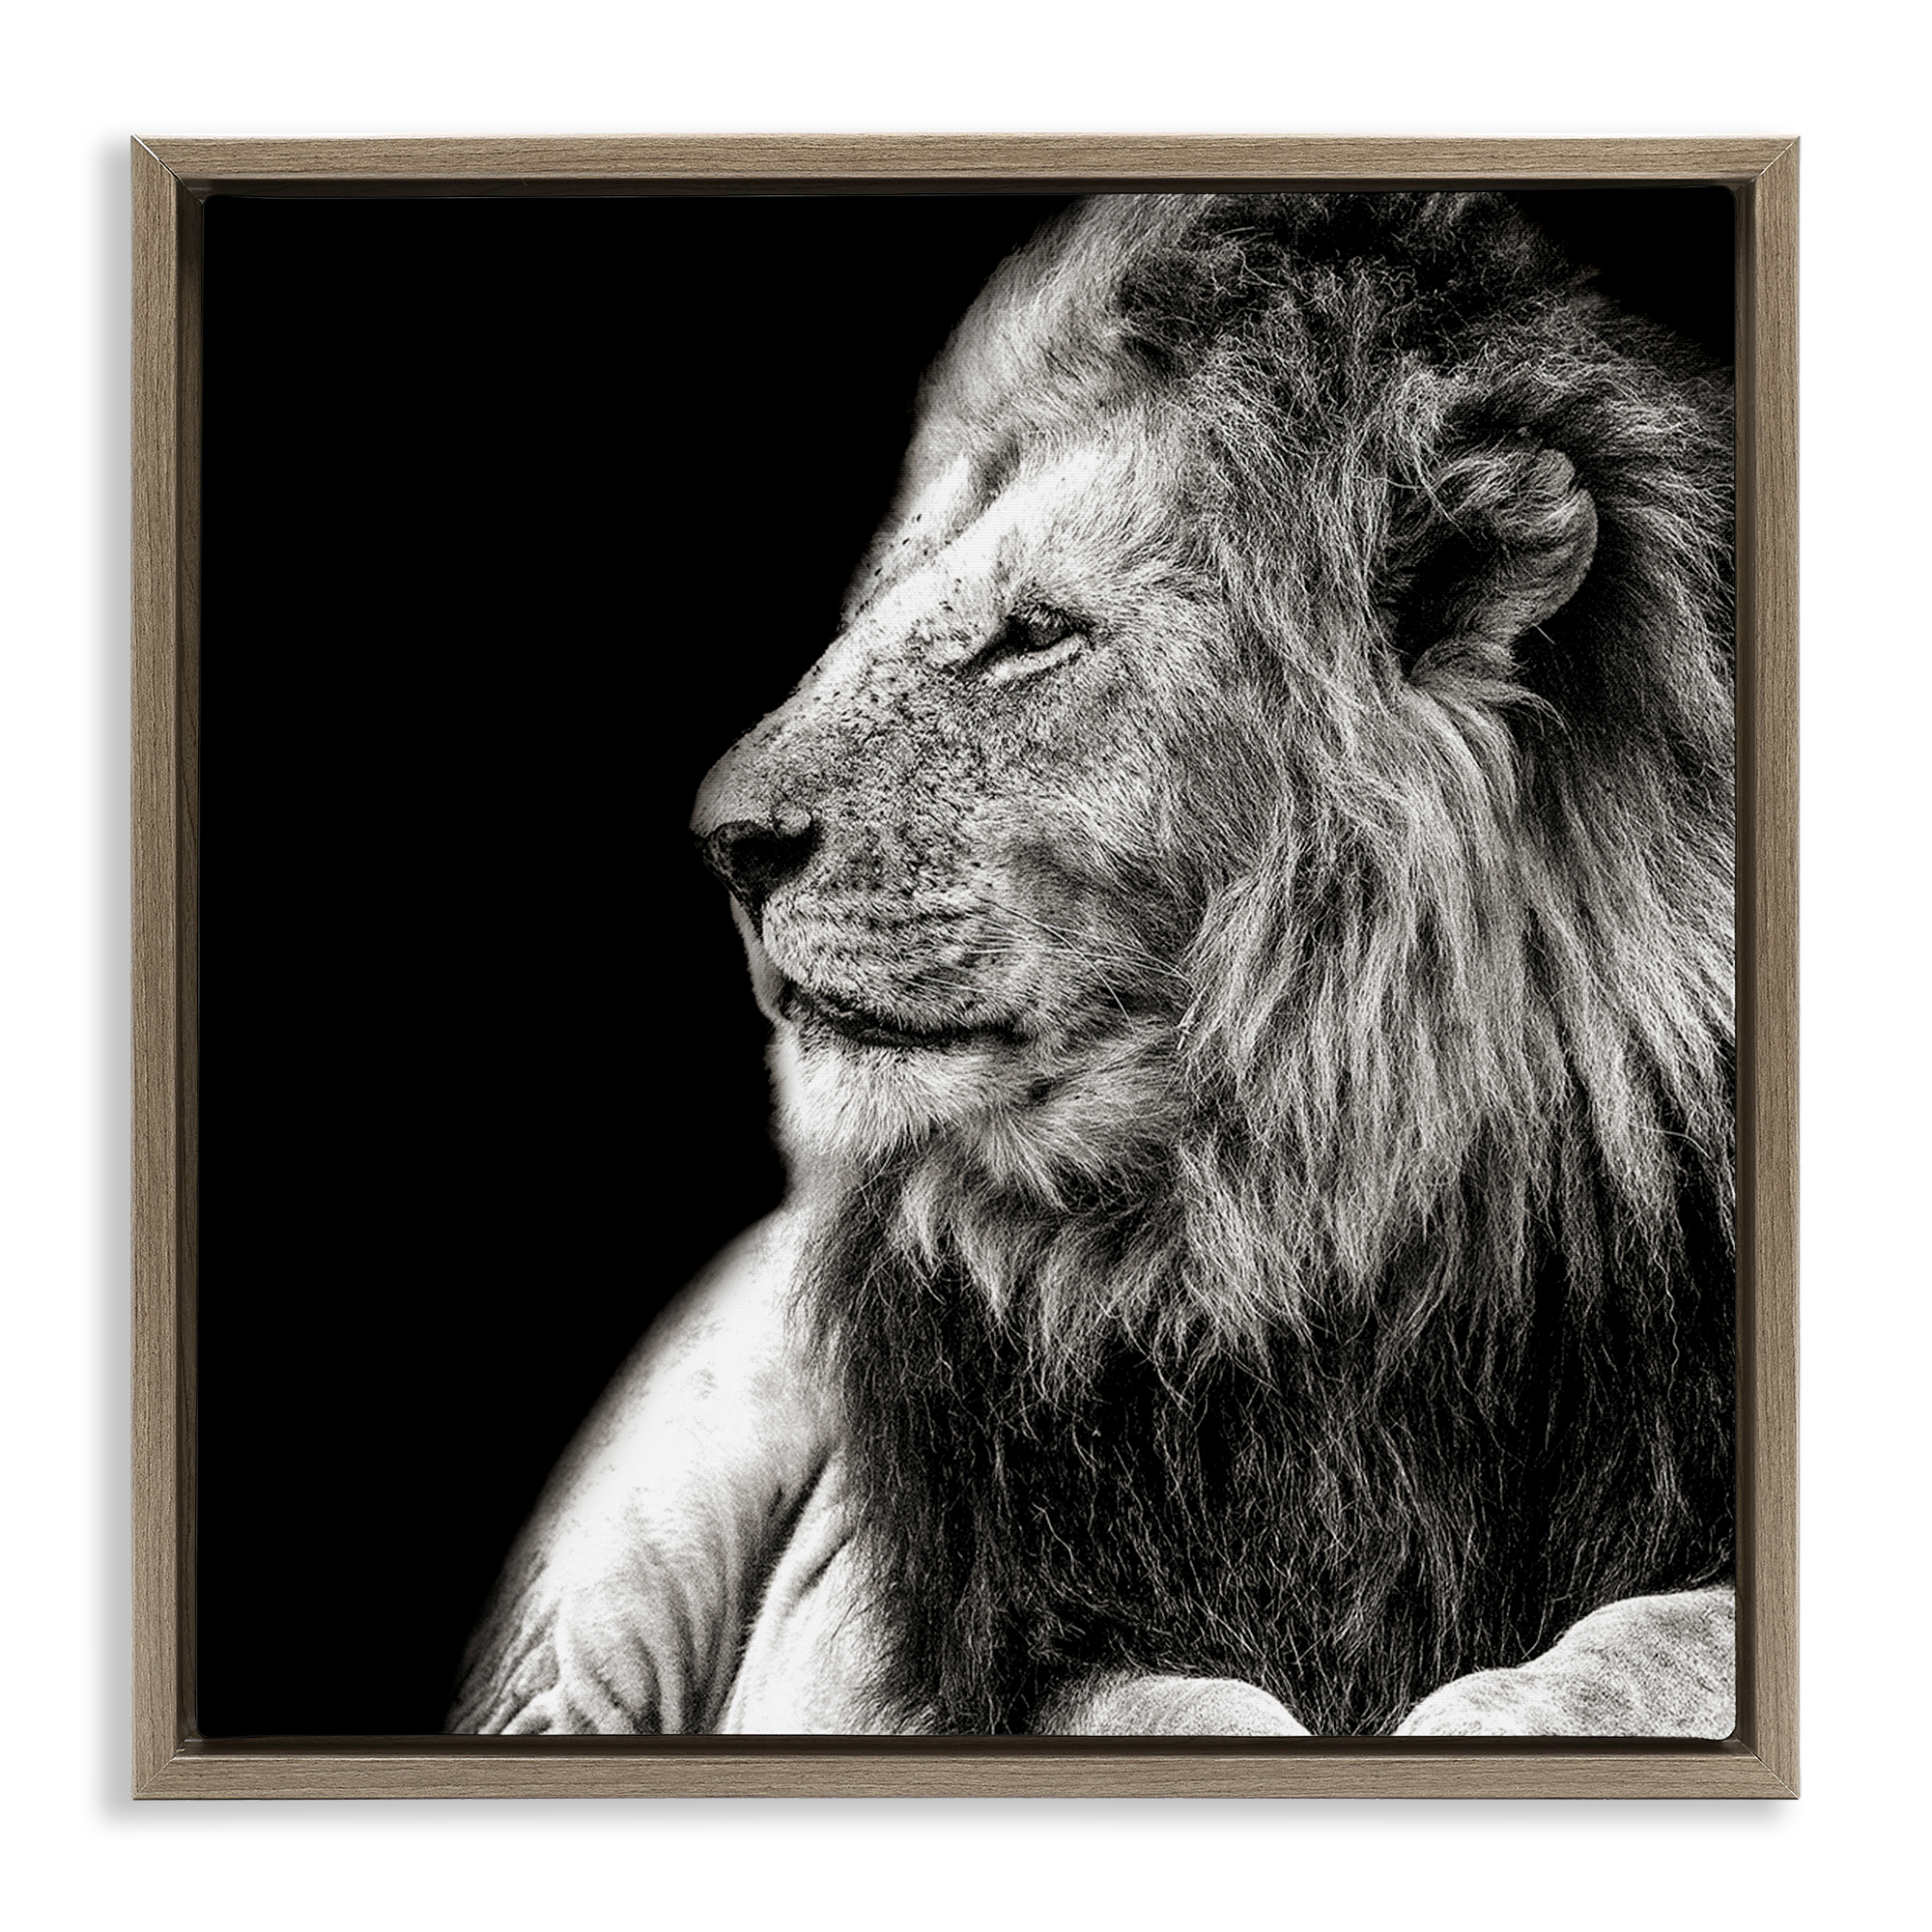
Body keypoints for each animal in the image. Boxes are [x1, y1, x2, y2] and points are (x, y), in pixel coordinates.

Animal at [450, 192, 1737, 1738]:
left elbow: (1656, 1636)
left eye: (1033, 635)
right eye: (874, 611)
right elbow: (1179, 1710)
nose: (724, 844)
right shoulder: (971, 1636)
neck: (1297, 1228)